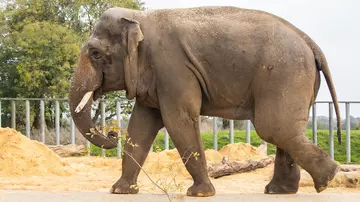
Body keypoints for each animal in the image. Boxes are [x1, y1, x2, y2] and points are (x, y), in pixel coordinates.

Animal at [69, 5, 342, 197]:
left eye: (95, 54)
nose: (112, 135)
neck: (140, 18)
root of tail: (310, 42)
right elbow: (141, 125)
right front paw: (120, 191)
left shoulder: (173, 67)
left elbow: (178, 120)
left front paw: (200, 193)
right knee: (285, 130)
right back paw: (283, 190)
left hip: (284, 75)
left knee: (273, 128)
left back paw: (326, 179)